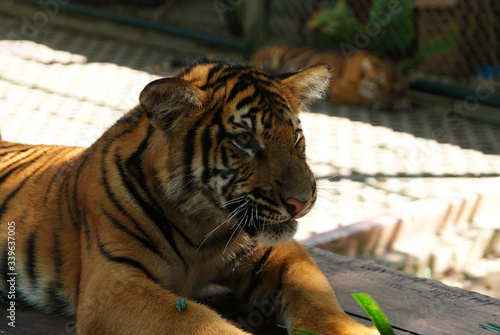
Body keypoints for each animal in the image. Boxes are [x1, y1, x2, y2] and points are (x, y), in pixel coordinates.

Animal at [0, 59, 376, 334]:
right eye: (245, 140)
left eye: (296, 137)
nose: (302, 202)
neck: (201, 223)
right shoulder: (114, 283)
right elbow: (197, 320)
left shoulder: (280, 251)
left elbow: (317, 298)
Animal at [250, 45, 410, 111]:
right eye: (379, 84)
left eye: (397, 91)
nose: (386, 104)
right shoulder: (343, 89)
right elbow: (362, 97)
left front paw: (402, 103)